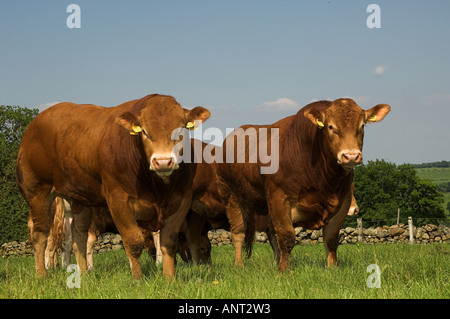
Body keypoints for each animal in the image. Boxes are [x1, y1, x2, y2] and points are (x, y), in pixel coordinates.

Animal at [15, 94, 209, 280]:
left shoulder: (182, 200)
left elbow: (168, 242)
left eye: (181, 130)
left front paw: (169, 278)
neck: (158, 188)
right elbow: (133, 241)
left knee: (79, 236)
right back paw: (42, 275)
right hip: (37, 194)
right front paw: (138, 279)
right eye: (144, 132)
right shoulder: (118, 200)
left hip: (81, 200)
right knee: (40, 235)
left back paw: (84, 273)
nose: (162, 162)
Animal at [216, 99, 388, 272]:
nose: (351, 156)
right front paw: (284, 271)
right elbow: (286, 237)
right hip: (232, 198)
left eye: (362, 126)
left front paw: (333, 268)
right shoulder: (279, 199)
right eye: (330, 126)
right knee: (238, 233)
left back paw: (275, 262)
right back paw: (239, 265)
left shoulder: (343, 202)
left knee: (271, 235)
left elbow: (331, 240)